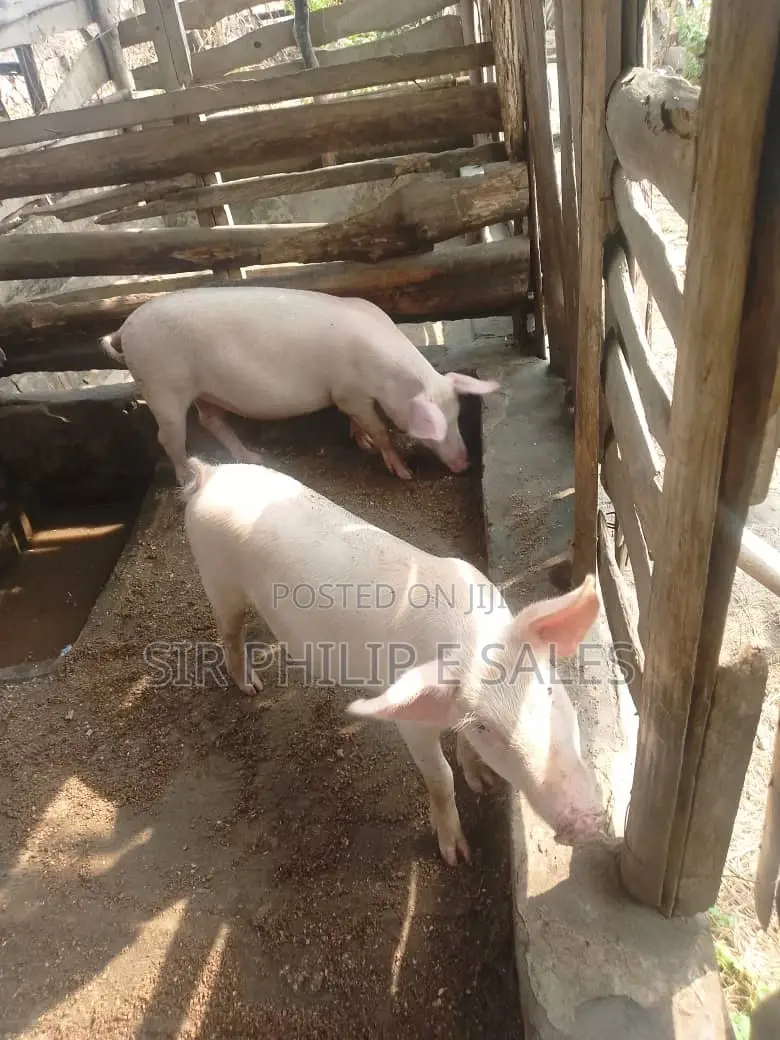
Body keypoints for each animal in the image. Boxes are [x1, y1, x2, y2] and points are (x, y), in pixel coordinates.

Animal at [99, 286, 499, 484]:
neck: (384, 372)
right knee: (169, 437)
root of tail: (125, 328)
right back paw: (185, 479)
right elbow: (380, 429)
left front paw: (362, 443)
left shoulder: (345, 395)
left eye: (457, 414)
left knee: (211, 421)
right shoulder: (351, 392)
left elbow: (359, 424)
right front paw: (403, 472)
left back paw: (254, 458)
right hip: (162, 386)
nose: (465, 464)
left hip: (203, 390)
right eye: (432, 424)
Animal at [181, 456, 607, 866]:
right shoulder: (409, 721)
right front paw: (457, 857)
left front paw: (483, 783)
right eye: (486, 727)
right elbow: (441, 778)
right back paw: (252, 687)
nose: (586, 823)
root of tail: (209, 474)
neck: (469, 641)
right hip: (217, 580)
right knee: (229, 632)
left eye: (550, 691)